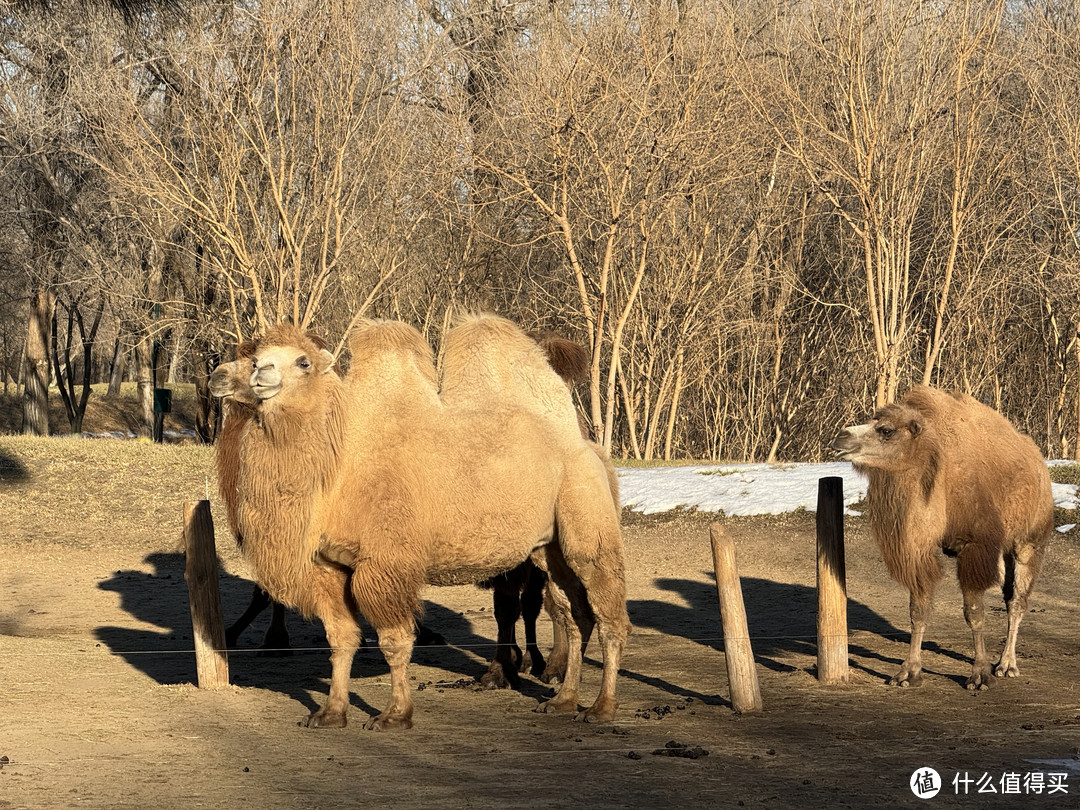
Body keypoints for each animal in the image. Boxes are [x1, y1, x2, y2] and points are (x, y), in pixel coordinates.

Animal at [829, 386, 1049, 691]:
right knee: (1007, 596)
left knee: (1017, 601)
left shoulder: (974, 547)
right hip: (1003, 552)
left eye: (886, 430)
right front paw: (908, 673)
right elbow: (917, 611)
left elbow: (974, 613)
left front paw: (979, 675)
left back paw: (1007, 665)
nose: (841, 436)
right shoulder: (919, 548)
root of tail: (1039, 464)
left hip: (1029, 541)